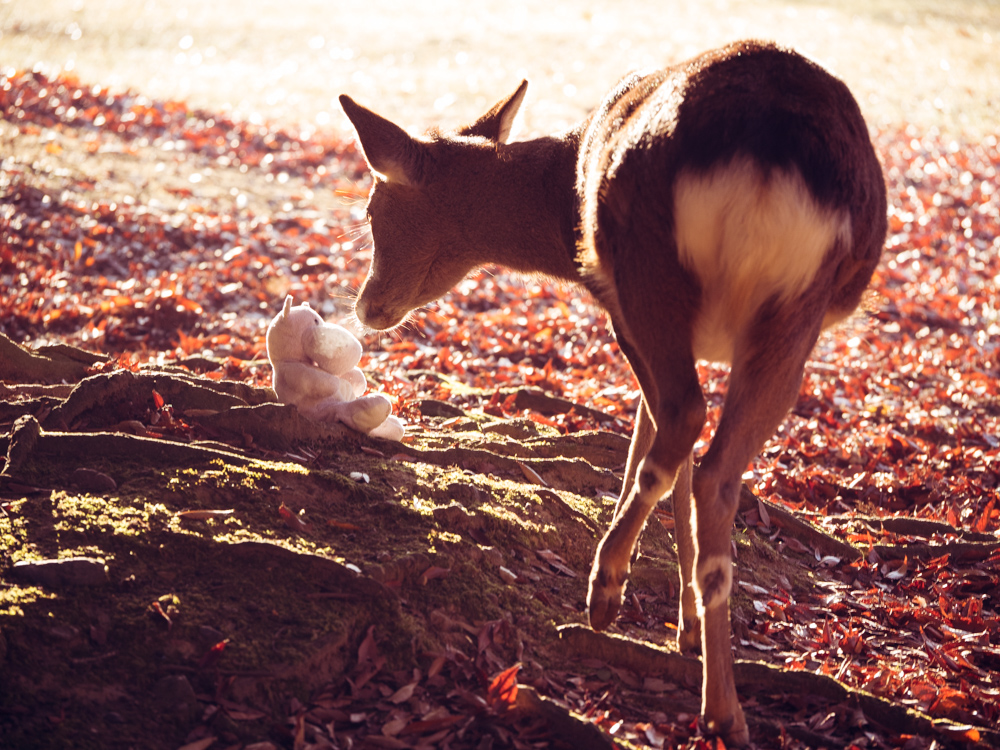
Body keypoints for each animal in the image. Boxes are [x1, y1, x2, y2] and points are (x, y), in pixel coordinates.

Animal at [339, 39, 887, 746]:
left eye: (372, 211)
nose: (365, 306)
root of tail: (770, 146)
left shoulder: (616, 306)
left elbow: (645, 438)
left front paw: (661, 610)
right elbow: (669, 452)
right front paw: (686, 627)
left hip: (647, 268)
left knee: (685, 416)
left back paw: (606, 591)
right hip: (800, 308)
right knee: (718, 468)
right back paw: (724, 707)